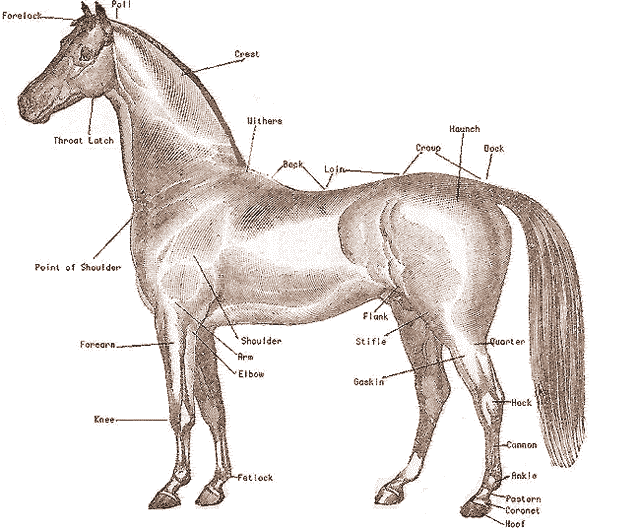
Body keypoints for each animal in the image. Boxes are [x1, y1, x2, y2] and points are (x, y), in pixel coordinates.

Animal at [18, 2, 584, 518]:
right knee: (433, 393)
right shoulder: (203, 326)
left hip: (457, 326)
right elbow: (214, 407)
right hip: (412, 316)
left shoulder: (172, 320)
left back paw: (479, 497)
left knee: (487, 399)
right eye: (61, 44)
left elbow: (180, 407)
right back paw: (395, 486)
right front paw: (214, 487)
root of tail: (483, 193)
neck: (190, 188)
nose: (27, 103)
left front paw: (170, 489)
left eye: (84, 52)